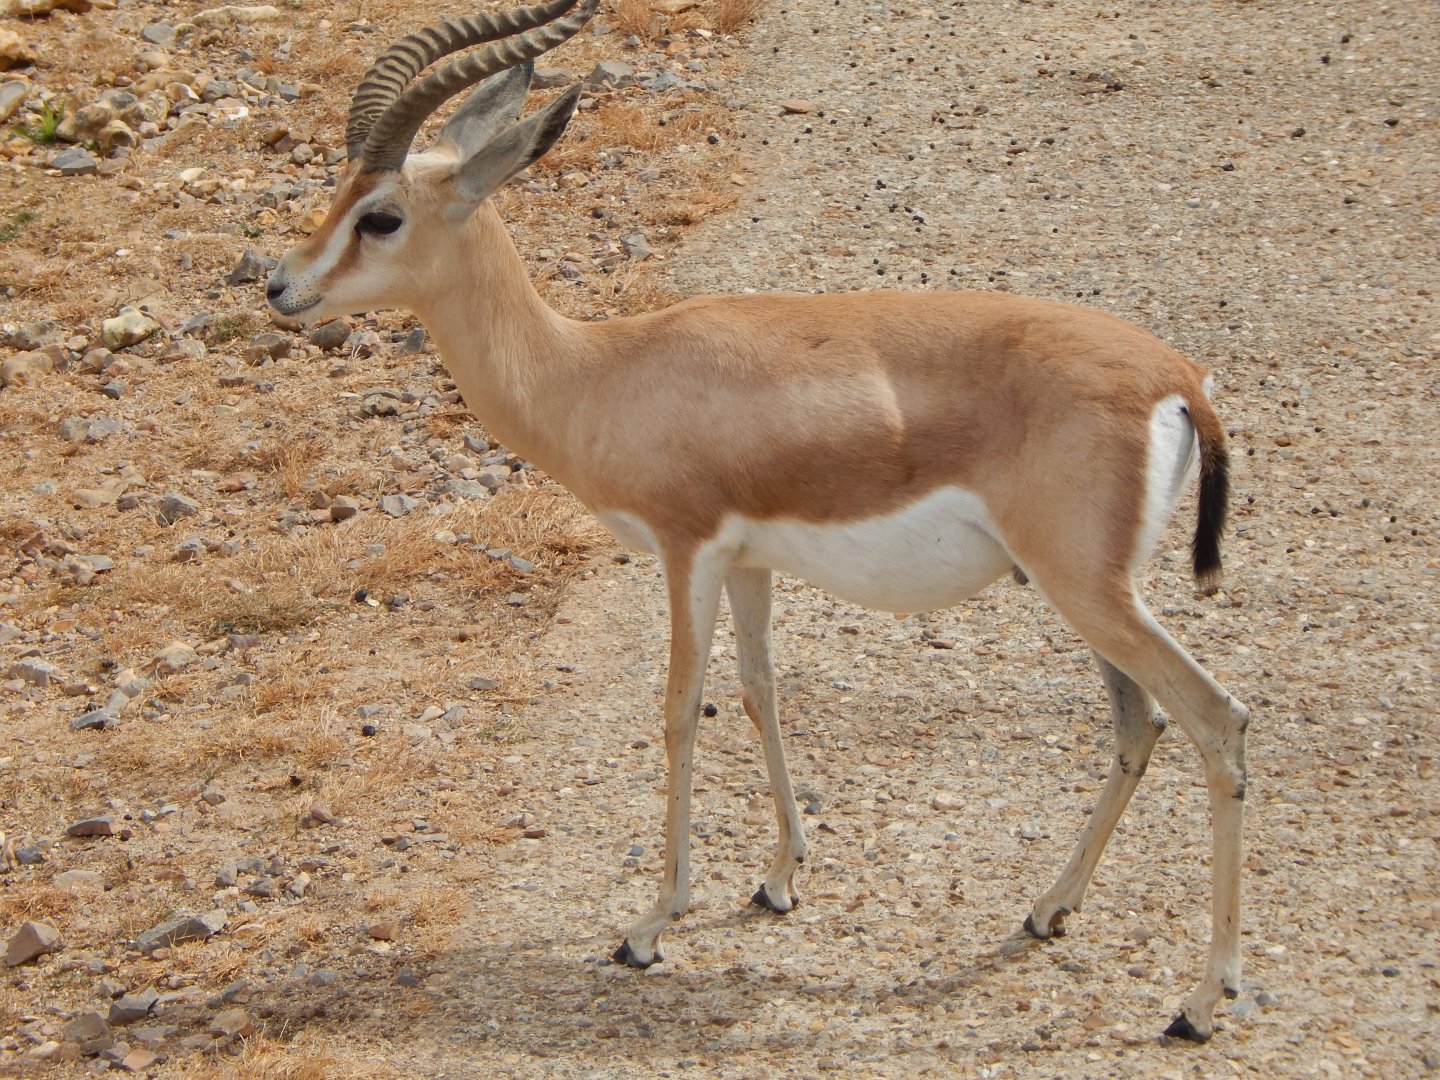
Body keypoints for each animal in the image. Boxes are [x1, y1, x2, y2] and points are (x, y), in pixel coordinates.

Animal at [267, 0, 1251, 1042]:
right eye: (338, 192)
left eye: (381, 215)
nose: (279, 285)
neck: (598, 373)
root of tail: (1177, 379)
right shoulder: (749, 560)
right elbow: (759, 691)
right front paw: (780, 879)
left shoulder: (686, 549)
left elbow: (678, 711)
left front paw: (649, 926)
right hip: (1091, 593)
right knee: (1140, 724)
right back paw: (1048, 908)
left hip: (1086, 590)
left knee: (1216, 720)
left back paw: (1201, 998)